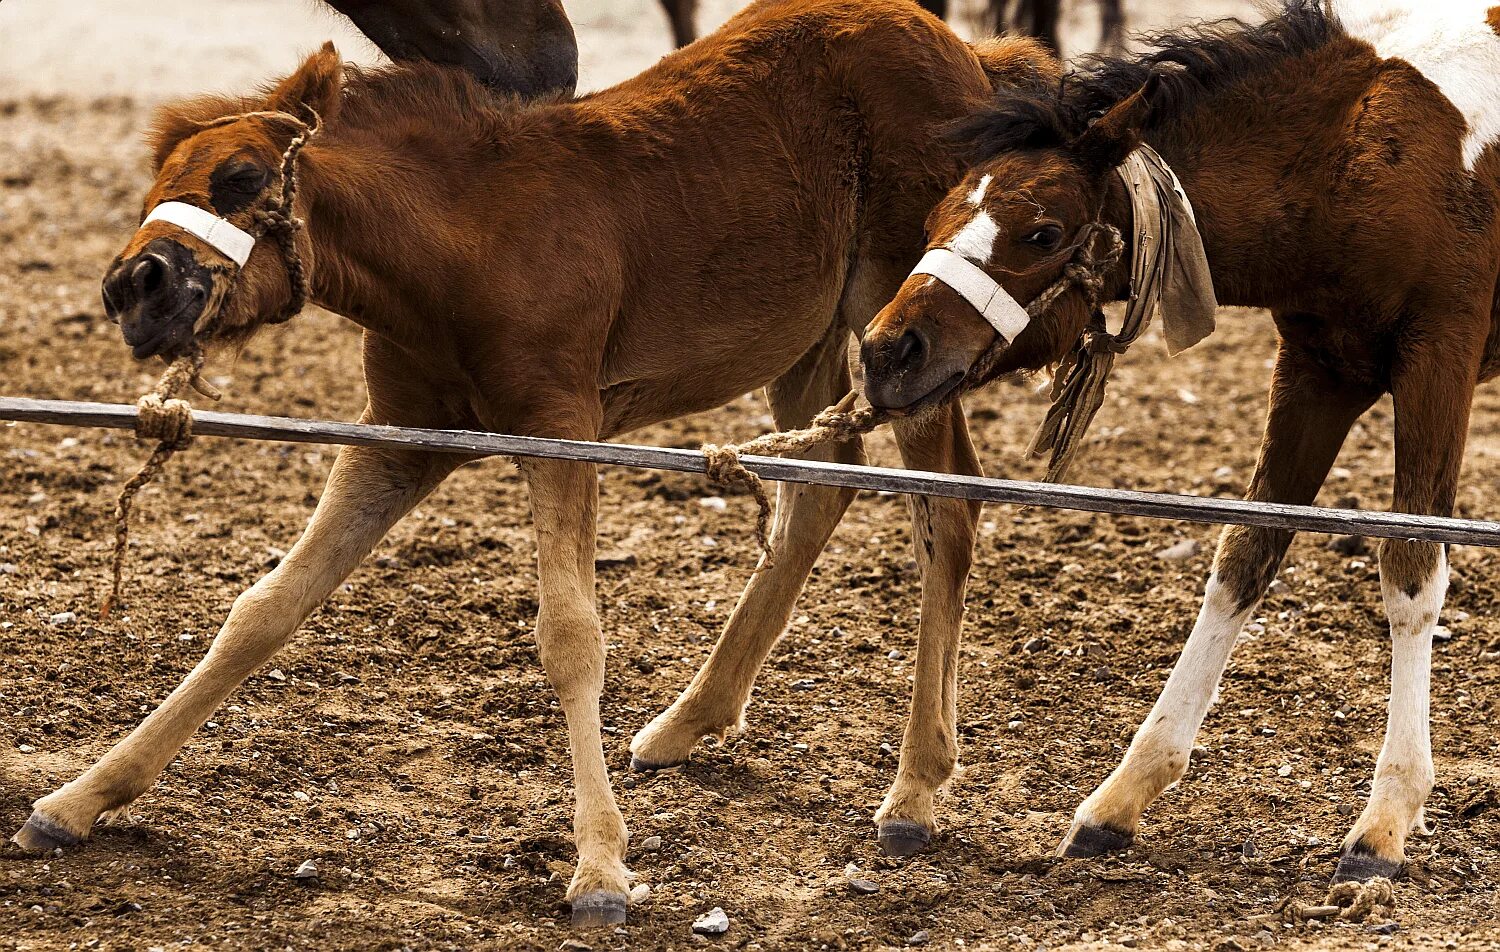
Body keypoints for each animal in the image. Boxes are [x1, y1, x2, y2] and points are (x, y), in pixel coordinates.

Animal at [17, 0, 1062, 923]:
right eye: (152, 189)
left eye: (238, 177)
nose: (134, 287)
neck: (460, 244)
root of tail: (969, 57)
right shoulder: (400, 437)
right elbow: (264, 609)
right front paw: (80, 798)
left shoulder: (561, 428)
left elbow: (571, 637)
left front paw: (600, 868)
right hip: (806, 343)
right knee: (821, 488)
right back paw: (691, 719)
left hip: (909, 334)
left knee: (947, 510)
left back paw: (916, 790)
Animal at [858, 0, 1500, 887]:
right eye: (934, 219)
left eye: (1044, 232)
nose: (887, 353)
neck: (1368, 146)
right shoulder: (1319, 368)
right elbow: (1245, 555)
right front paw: (1121, 798)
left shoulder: (1439, 359)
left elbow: (1409, 571)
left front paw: (1386, 821)